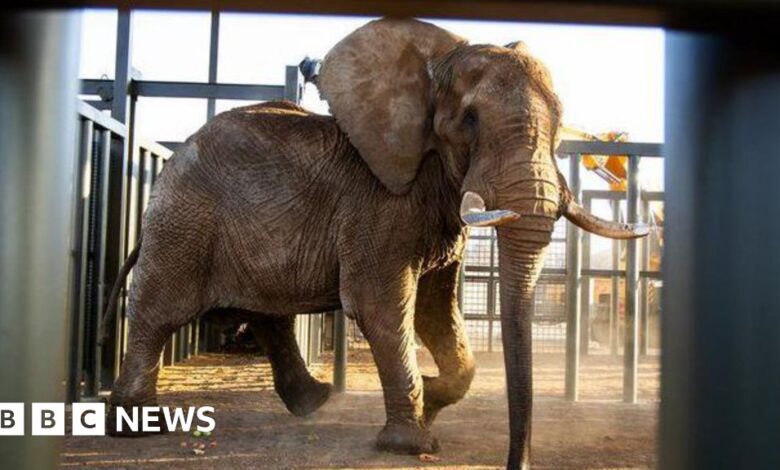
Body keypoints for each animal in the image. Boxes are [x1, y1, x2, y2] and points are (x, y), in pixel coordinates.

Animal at [100, 16, 648, 468]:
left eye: (560, 121)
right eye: (470, 120)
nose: (519, 463)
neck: (435, 65)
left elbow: (435, 308)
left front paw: (432, 398)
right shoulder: (379, 202)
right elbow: (381, 306)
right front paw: (412, 442)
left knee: (268, 315)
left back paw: (314, 401)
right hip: (184, 221)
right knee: (158, 313)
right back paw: (135, 426)